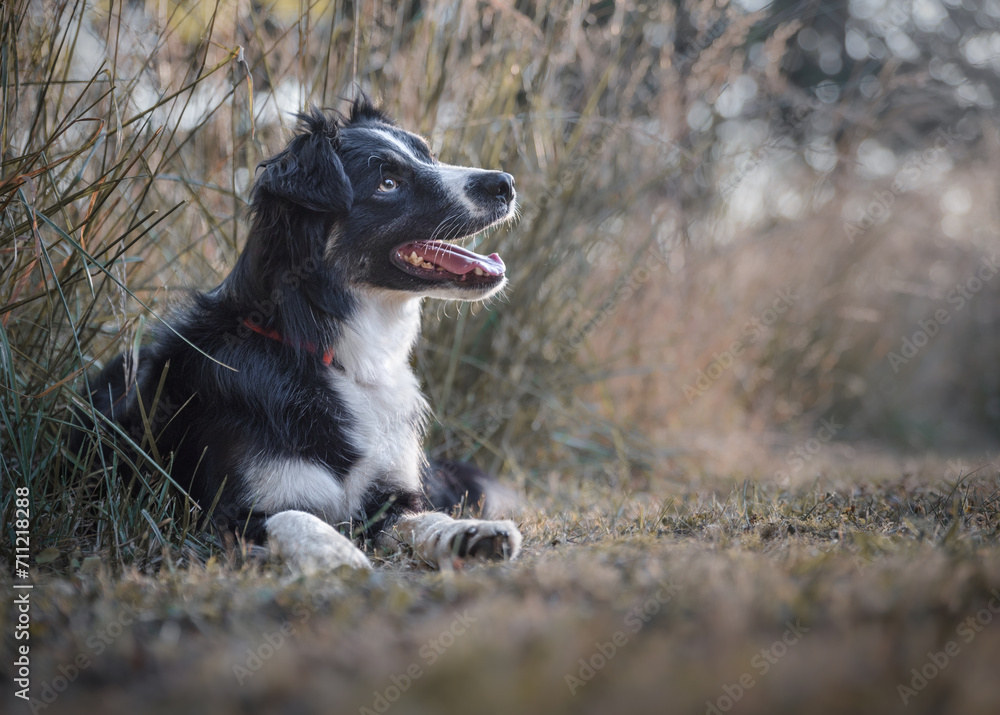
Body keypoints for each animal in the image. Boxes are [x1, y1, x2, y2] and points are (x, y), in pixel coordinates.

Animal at [78, 98, 524, 572]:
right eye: (387, 183)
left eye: (428, 156)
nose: (506, 183)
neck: (338, 358)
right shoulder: (228, 512)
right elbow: (295, 516)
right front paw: (337, 552)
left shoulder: (389, 499)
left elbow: (426, 518)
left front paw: (469, 534)